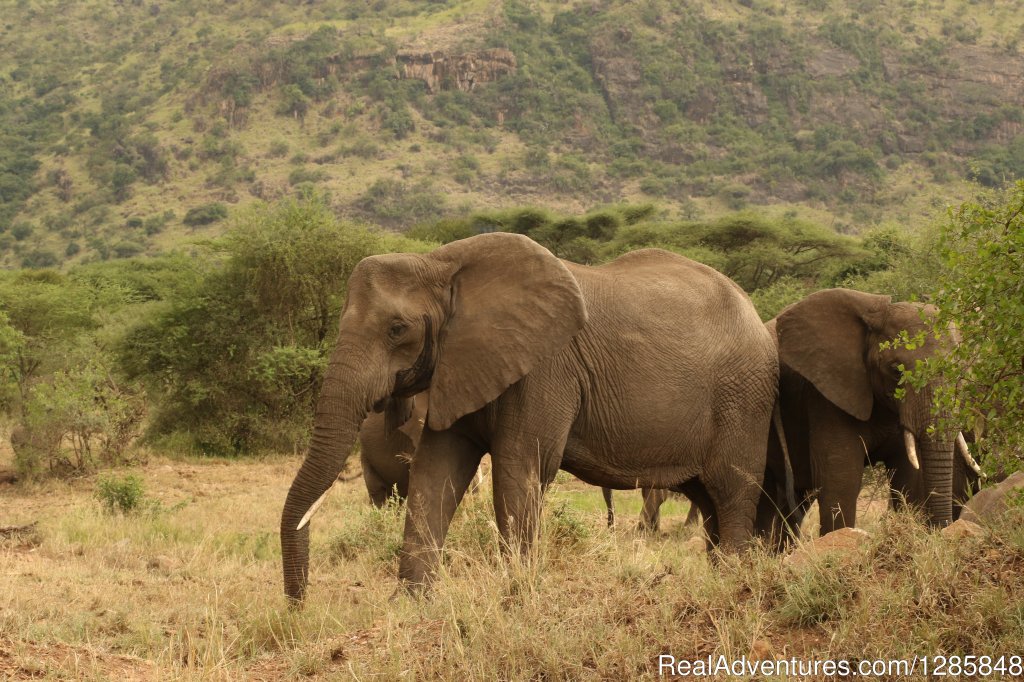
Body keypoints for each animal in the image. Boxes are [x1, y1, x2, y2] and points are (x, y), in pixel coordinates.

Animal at [280, 231, 774, 598]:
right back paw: (716, 579)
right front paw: (411, 605)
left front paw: (516, 594)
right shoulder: (460, 365)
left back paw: (732, 585)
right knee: (708, 500)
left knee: (731, 492)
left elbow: (519, 468)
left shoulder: (544, 369)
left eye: (397, 329)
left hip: (744, 397)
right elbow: (435, 473)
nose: (298, 604)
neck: (440, 263)